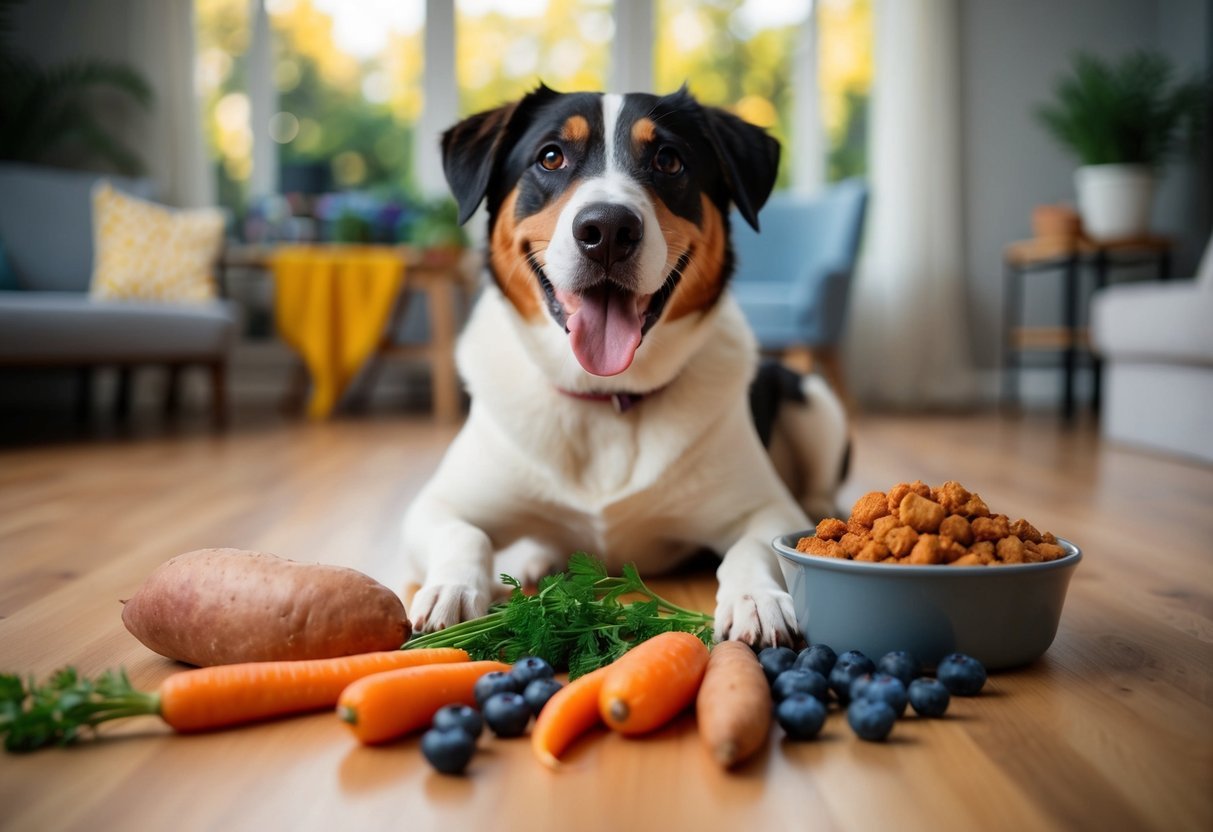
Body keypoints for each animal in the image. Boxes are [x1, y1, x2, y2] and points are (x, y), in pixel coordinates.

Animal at [402, 84, 849, 650]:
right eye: (551, 156)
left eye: (669, 160)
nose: (608, 229)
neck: (604, 397)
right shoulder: (436, 504)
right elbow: (463, 532)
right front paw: (453, 590)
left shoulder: (767, 509)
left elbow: (753, 547)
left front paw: (755, 600)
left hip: (811, 397)